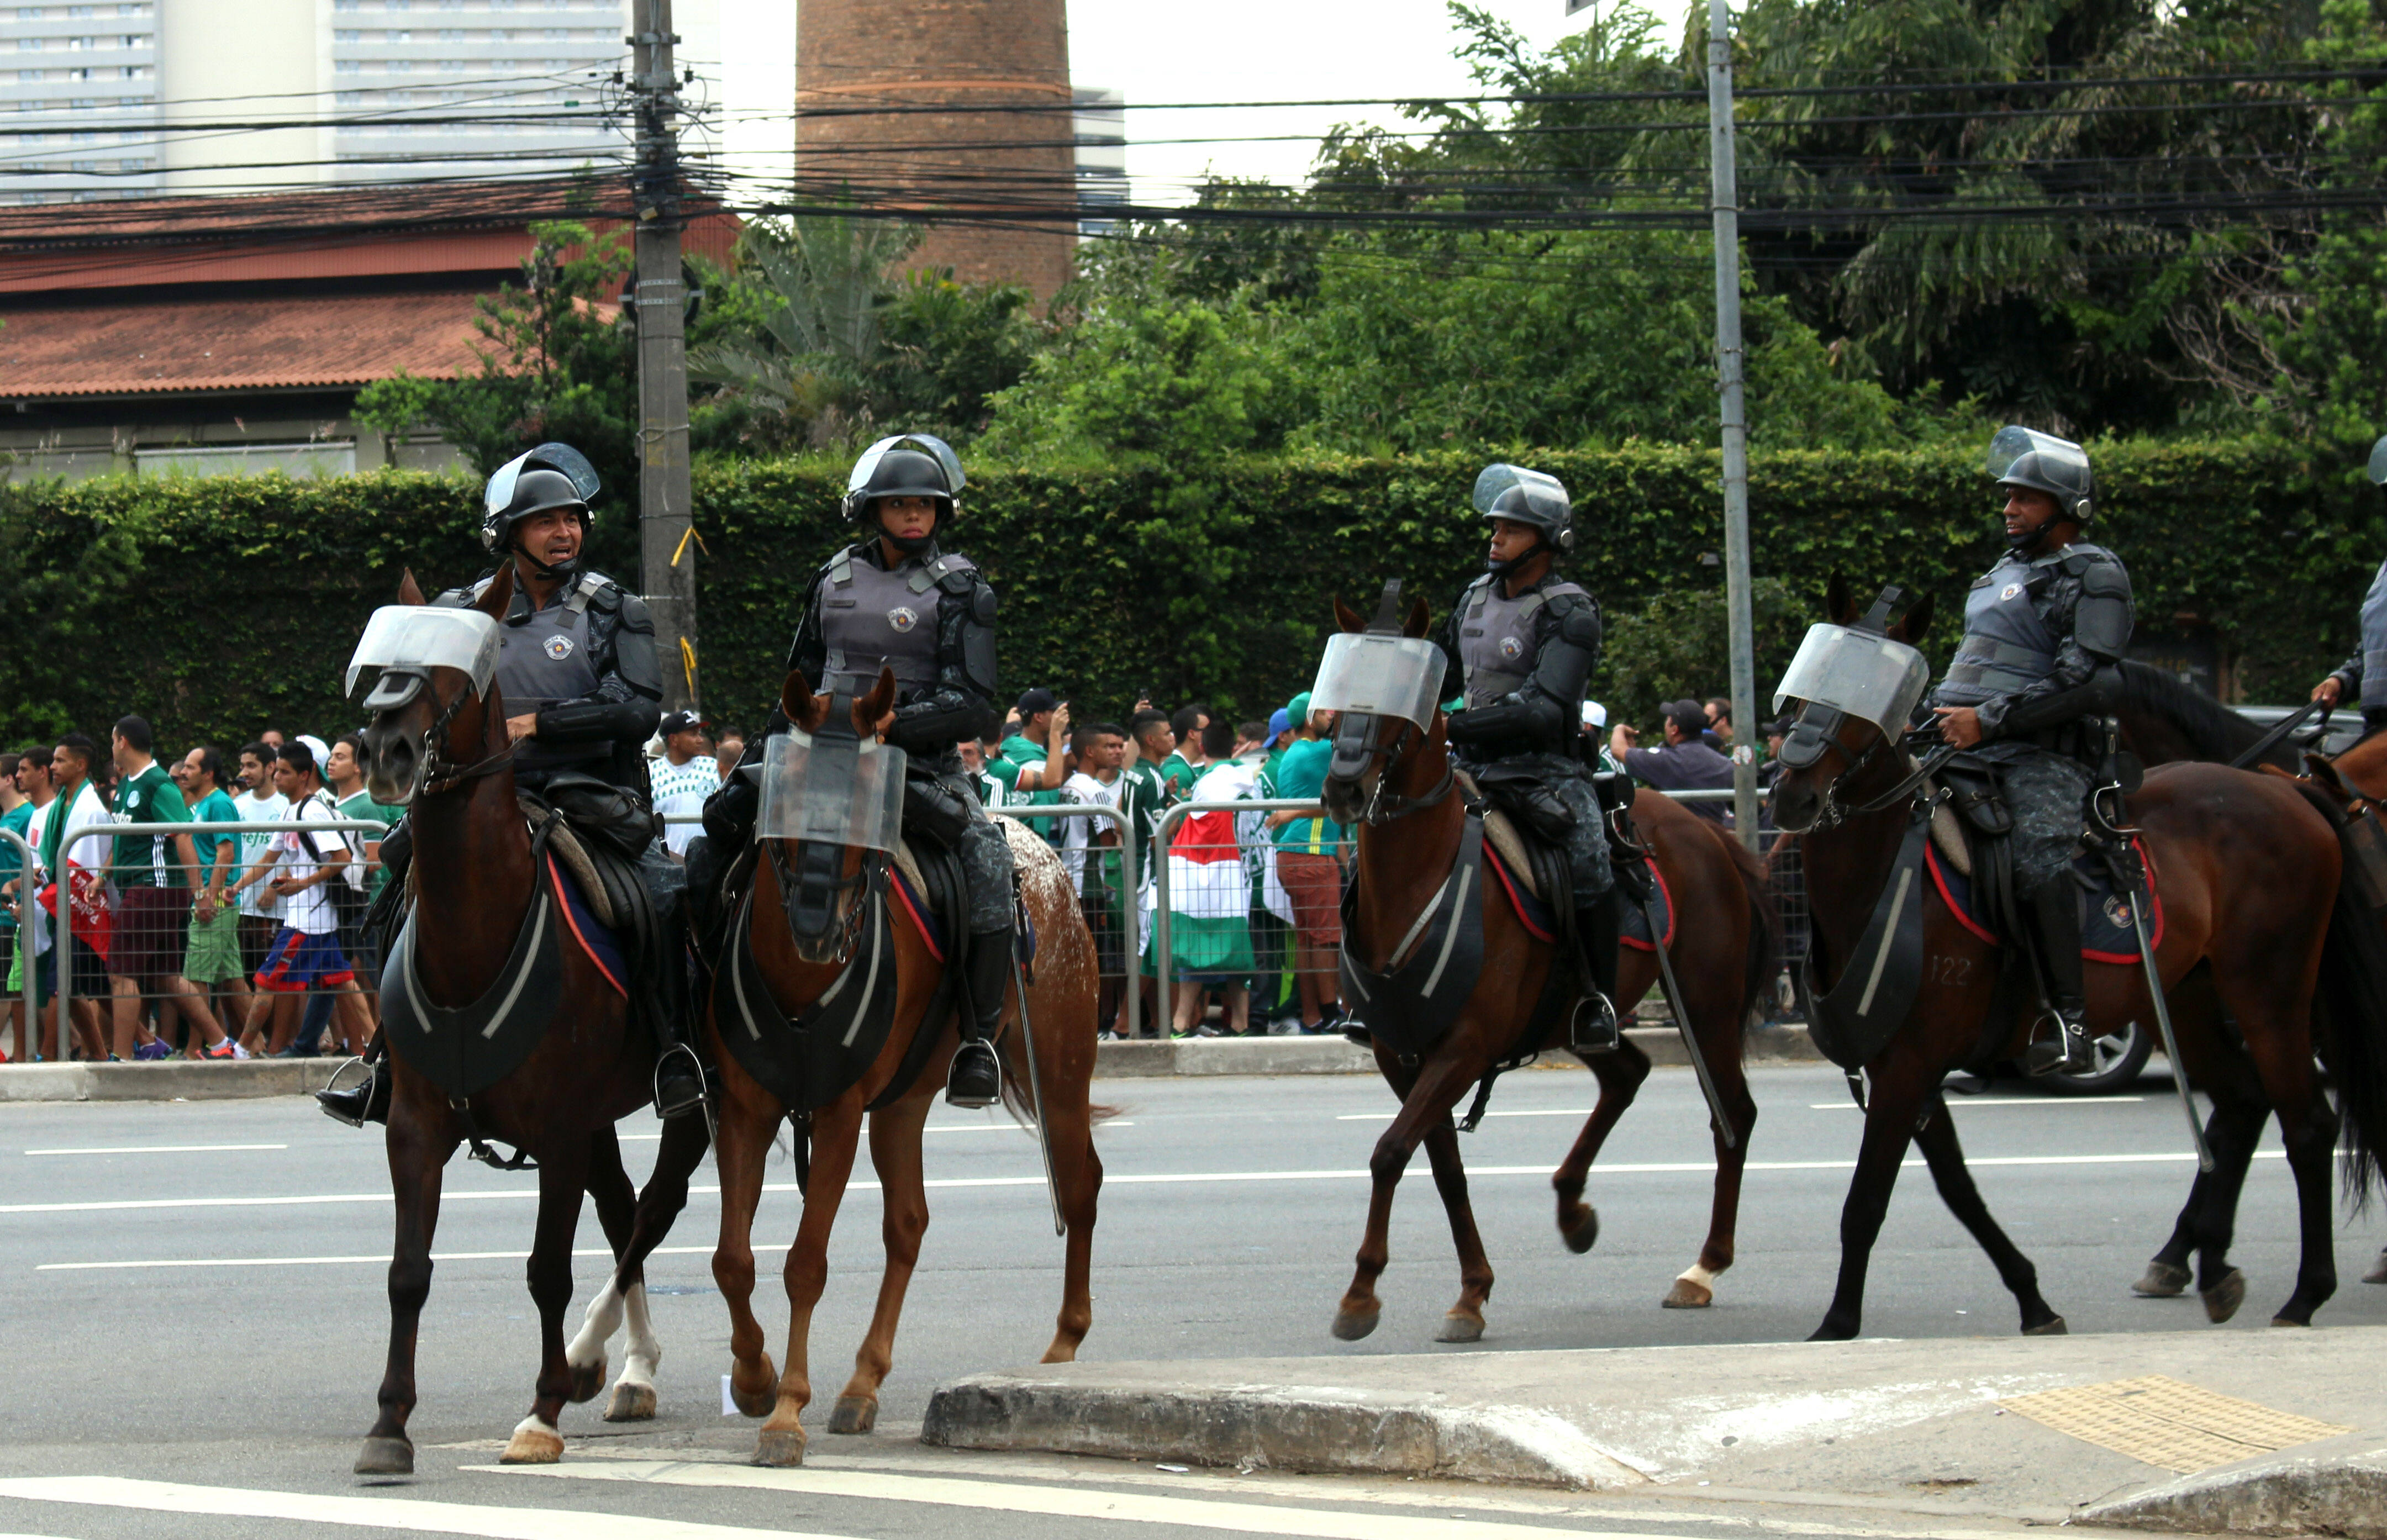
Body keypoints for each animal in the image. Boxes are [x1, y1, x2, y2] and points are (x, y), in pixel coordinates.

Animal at [348, 561, 711, 1461]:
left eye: (457, 673)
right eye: (382, 658)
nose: (384, 751)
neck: (472, 936)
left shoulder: (556, 1130)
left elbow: (548, 1270)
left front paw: (542, 1410)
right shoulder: (416, 1125)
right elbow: (408, 1274)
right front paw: (389, 1424)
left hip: (689, 1099)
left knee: (654, 1208)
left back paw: (591, 1362)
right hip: (599, 1116)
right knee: (624, 1210)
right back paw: (631, 1369)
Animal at [707, 673, 1107, 1461]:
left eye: (872, 801)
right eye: (787, 793)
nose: (818, 928)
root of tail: (1041, 853)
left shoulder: (836, 1113)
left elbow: (806, 1262)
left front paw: (786, 1412)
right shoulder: (745, 1106)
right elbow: (733, 1258)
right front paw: (753, 1377)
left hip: (1060, 1071)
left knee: (1080, 1186)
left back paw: (1063, 1345)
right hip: (902, 1102)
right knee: (909, 1224)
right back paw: (864, 1382)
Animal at [1327, 594, 1775, 1337]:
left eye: (1404, 698)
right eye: (1338, 690)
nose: (1342, 785)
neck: (1418, 881)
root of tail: (1712, 835)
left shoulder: (1465, 1048)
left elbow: (1390, 1152)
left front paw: (1361, 1292)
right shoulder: (1402, 1053)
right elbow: (1440, 1165)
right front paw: (1471, 1291)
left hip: (1706, 1005)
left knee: (1731, 1113)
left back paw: (1703, 1266)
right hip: (1578, 1016)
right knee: (1626, 1074)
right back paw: (1573, 1207)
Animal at [1775, 578, 2387, 1337]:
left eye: (1868, 705)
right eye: (1807, 683)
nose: (1787, 791)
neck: (1889, 874)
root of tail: (2291, 790)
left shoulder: (1908, 1066)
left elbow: (1864, 1202)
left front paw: (1836, 1324)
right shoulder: (1908, 1068)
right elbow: (1960, 1191)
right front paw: (2032, 1298)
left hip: (2270, 996)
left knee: (2308, 1125)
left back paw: (2305, 1295)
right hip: (2185, 999)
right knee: (2244, 1103)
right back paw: (2206, 1264)